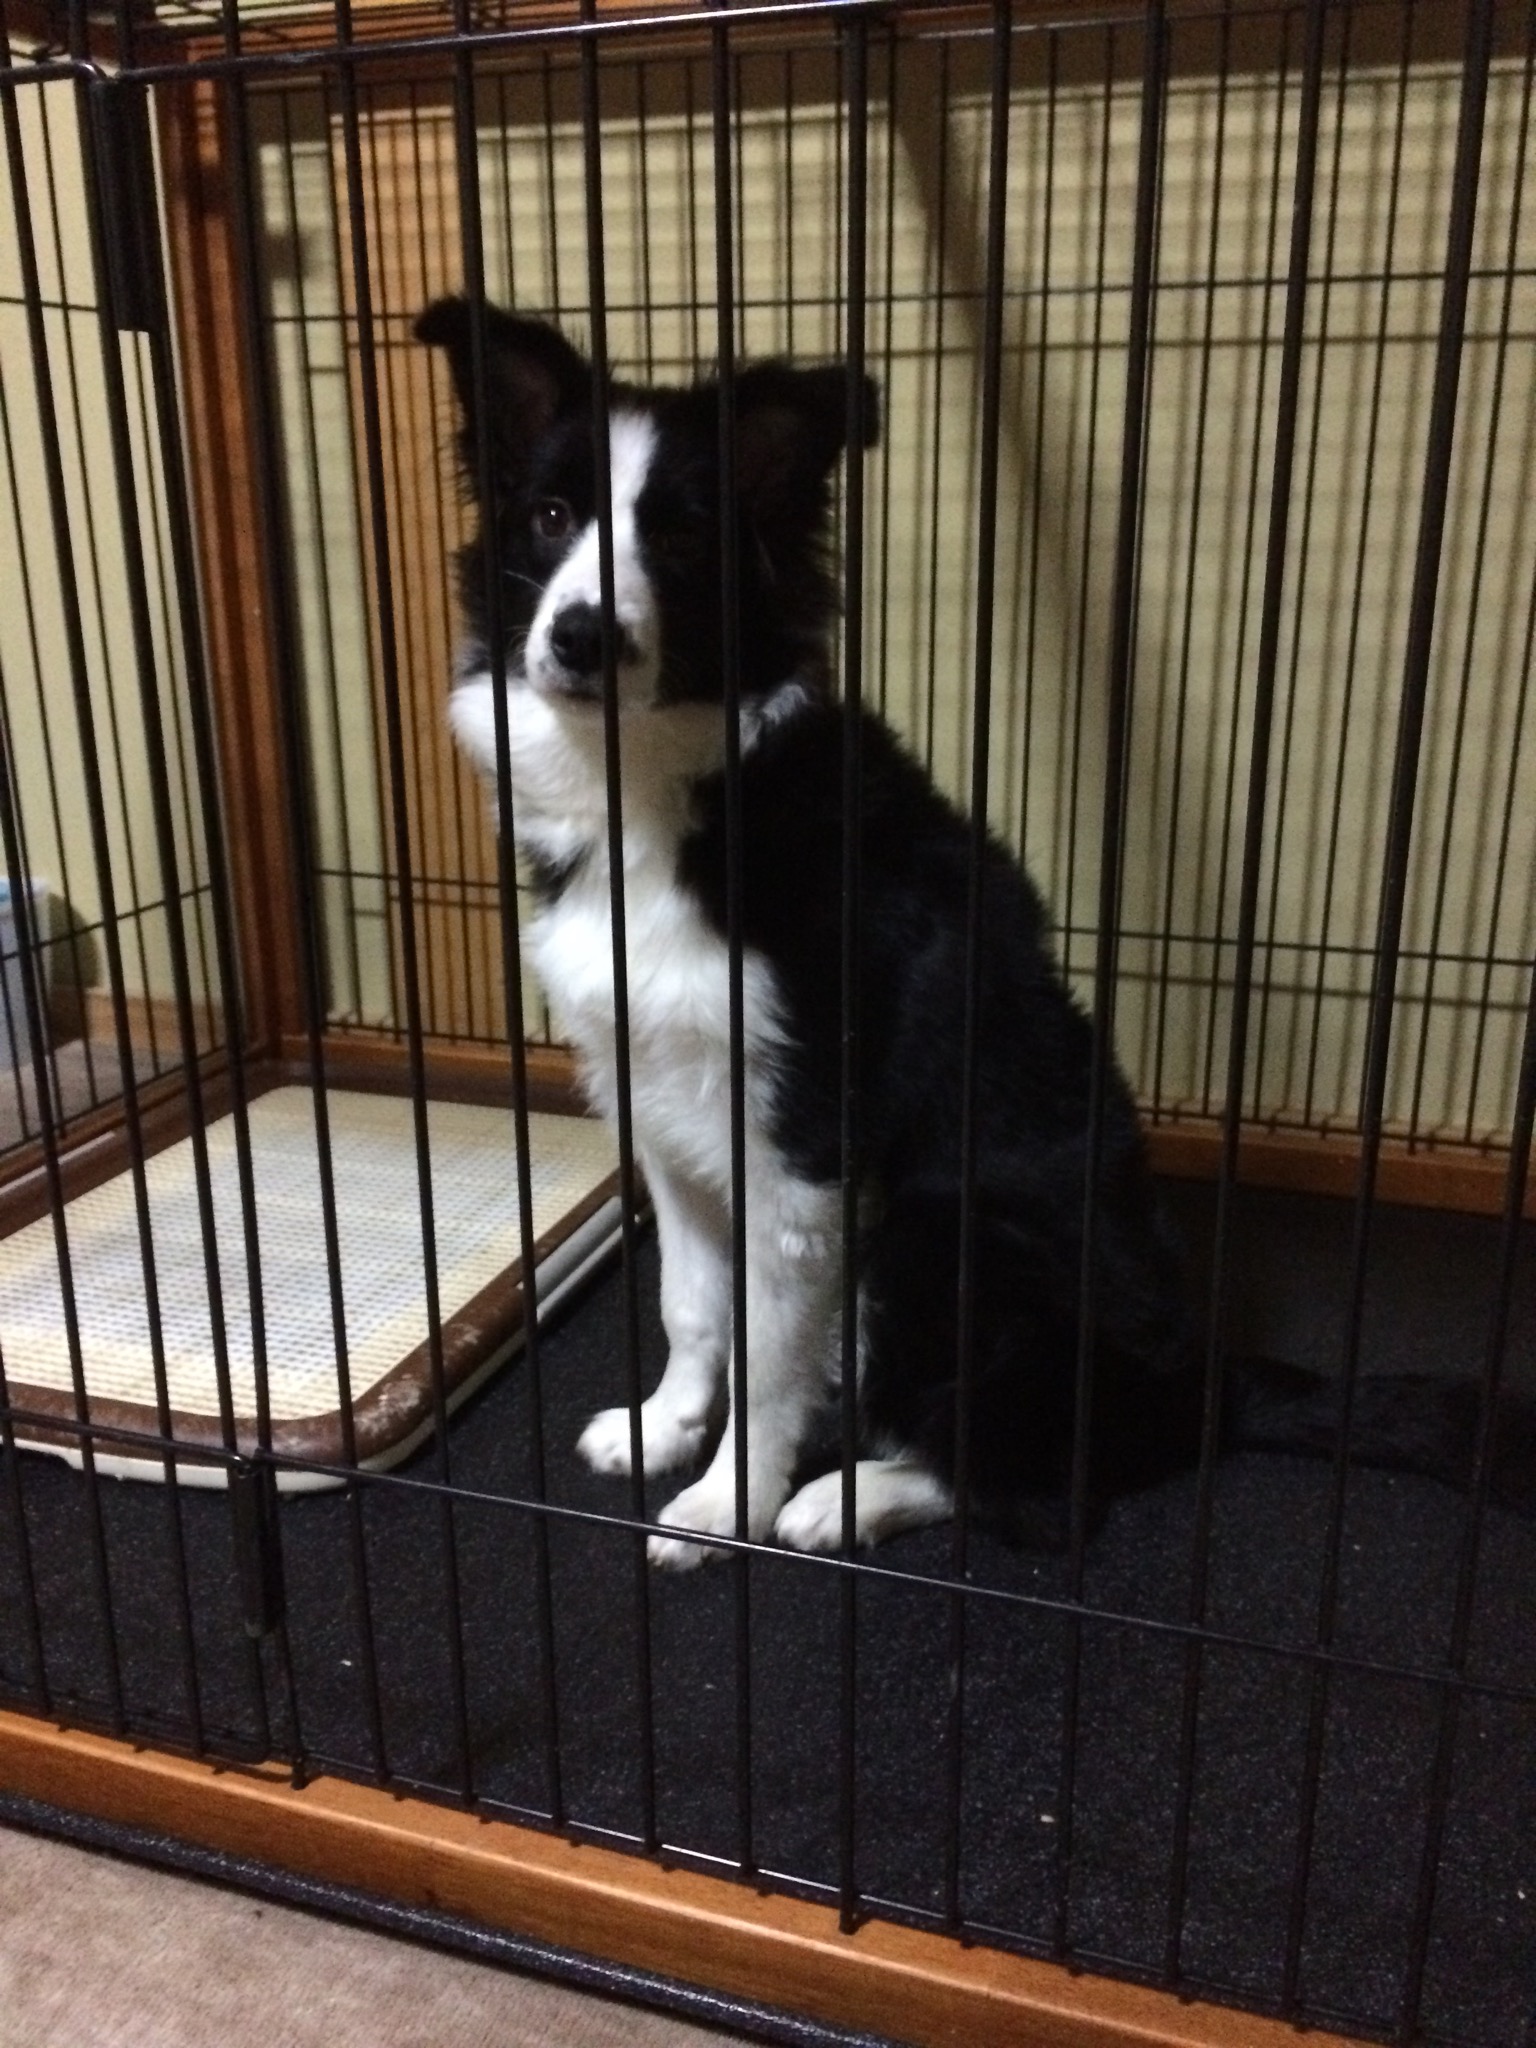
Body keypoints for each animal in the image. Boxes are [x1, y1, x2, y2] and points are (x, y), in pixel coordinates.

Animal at [417, 296, 1532, 1567]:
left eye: (687, 539)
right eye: (552, 516)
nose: (584, 637)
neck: (663, 792)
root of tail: (1201, 1389)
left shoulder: (806, 1144)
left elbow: (772, 1354)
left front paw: (723, 1506)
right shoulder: (659, 1103)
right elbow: (694, 1303)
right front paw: (667, 1426)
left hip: (933, 1233)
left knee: (1039, 1494)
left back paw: (842, 1500)